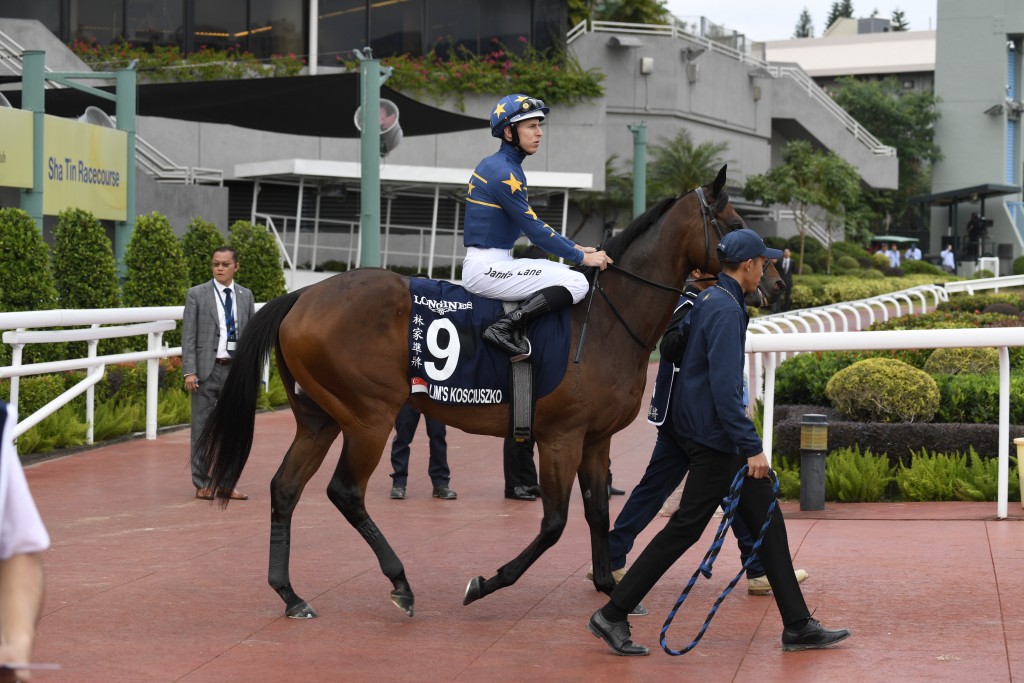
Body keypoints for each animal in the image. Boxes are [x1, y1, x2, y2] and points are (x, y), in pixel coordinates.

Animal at [195, 165, 778, 618]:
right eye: (735, 225)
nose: (773, 284)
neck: (608, 319)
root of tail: (303, 295)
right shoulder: (561, 437)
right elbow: (554, 523)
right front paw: (488, 582)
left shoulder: (595, 439)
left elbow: (596, 511)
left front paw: (609, 585)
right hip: (368, 418)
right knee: (345, 491)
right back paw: (400, 583)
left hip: (319, 418)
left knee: (285, 488)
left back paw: (290, 594)